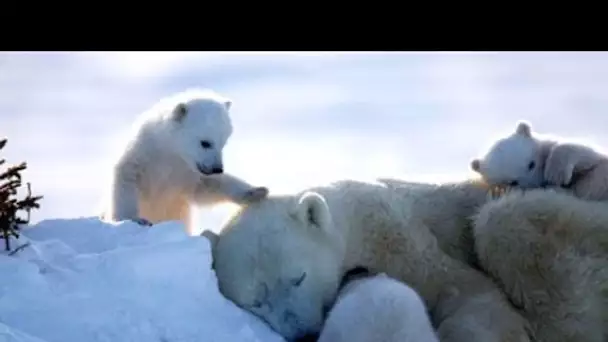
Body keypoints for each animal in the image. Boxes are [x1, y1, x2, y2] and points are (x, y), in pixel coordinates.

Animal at [205, 178, 608, 340]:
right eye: (255, 301)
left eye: (298, 277)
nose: (303, 336)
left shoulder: (397, 234)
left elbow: (463, 289)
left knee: (503, 222)